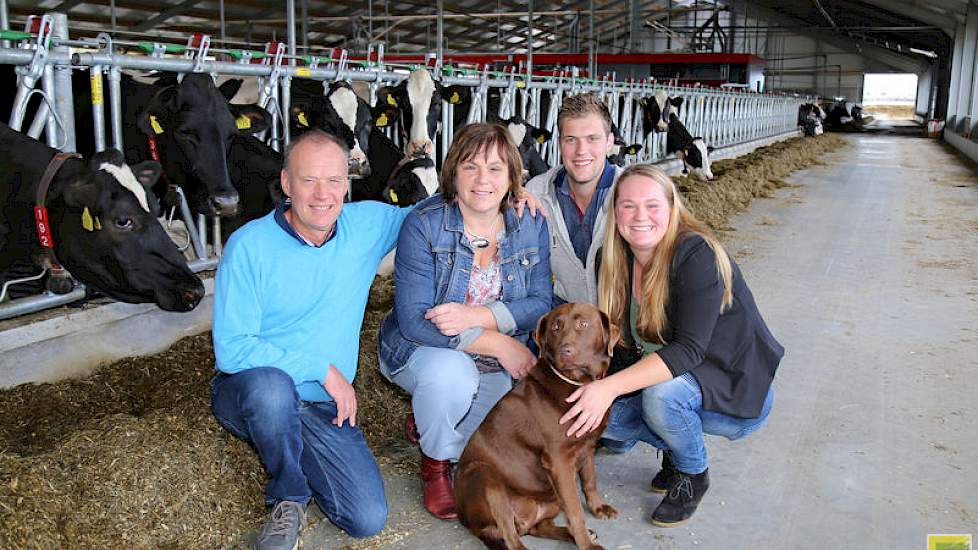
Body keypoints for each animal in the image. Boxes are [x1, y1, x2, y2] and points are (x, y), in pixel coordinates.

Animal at [454, 304, 620, 548]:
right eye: (555, 327)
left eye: (583, 324)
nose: (565, 351)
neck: (577, 383)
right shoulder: (559, 461)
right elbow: (575, 509)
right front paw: (586, 545)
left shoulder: (587, 446)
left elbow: (590, 479)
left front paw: (598, 507)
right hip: (483, 475)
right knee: (511, 537)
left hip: (549, 500)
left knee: (539, 527)